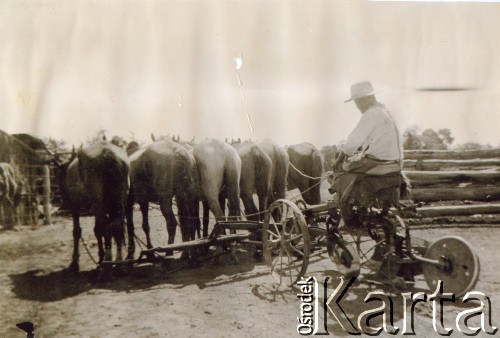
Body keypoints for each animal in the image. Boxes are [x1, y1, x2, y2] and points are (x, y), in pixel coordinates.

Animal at [57, 141, 130, 270]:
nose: (63, 200)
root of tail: (109, 153)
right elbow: (101, 230)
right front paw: (102, 256)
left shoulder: (75, 205)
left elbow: (78, 231)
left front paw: (75, 262)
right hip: (118, 200)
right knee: (116, 227)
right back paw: (118, 261)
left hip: (98, 203)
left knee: (105, 228)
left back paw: (107, 262)